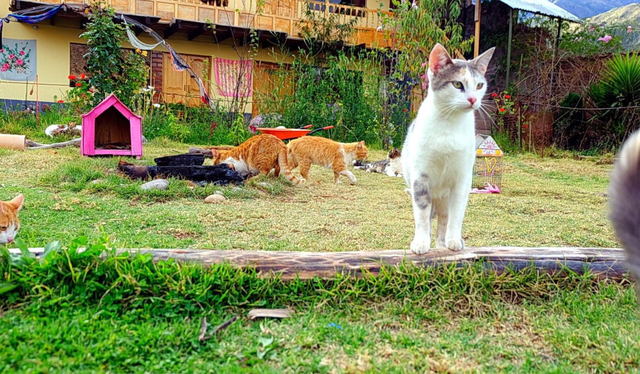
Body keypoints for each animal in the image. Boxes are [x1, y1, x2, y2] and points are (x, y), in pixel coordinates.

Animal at [400, 43, 496, 254]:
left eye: (479, 85)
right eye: (458, 84)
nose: (473, 99)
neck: (449, 124)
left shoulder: (462, 179)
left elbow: (456, 215)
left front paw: (453, 240)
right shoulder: (420, 177)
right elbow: (422, 217)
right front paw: (420, 242)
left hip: (445, 198)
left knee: (444, 219)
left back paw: (442, 244)